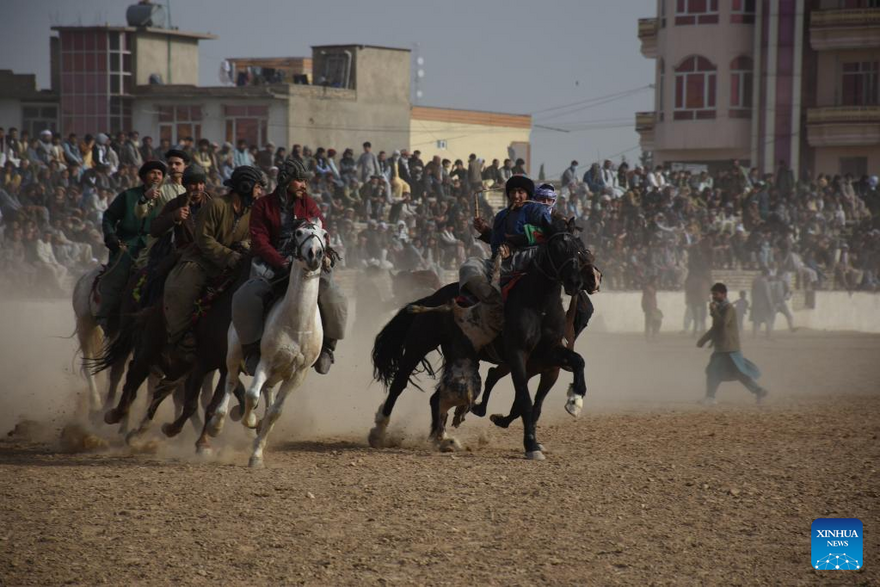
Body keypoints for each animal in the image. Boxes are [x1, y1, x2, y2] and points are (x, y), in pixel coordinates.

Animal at [211, 220, 324, 468]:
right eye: (298, 232)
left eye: (324, 233)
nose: (314, 254)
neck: (297, 325)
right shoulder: (265, 361)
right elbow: (252, 395)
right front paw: (251, 421)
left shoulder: (298, 374)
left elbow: (275, 412)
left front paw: (256, 453)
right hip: (234, 354)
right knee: (231, 383)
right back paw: (217, 424)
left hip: (276, 375)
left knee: (267, 393)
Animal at [372, 218, 592, 462]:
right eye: (557, 248)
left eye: (579, 249)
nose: (575, 282)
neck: (539, 305)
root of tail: (431, 298)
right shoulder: (517, 355)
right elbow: (524, 398)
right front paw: (531, 445)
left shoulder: (547, 353)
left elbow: (578, 361)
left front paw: (575, 401)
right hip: (418, 345)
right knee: (399, 385)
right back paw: (379, 431)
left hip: (458, 357)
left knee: (437, 398)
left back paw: (444, 439)